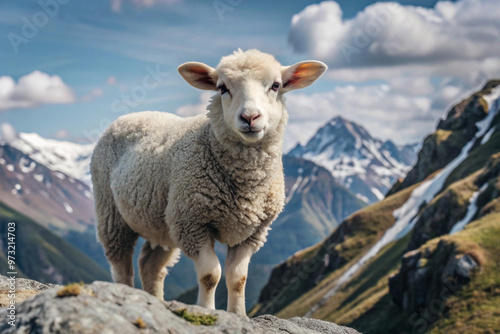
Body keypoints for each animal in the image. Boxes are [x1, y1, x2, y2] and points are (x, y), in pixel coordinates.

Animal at [91, 48, 326, 314]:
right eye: (222, 88)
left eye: (276, 85)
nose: (250, 117)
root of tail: (133, 114)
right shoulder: (193, 223)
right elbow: (210, 275)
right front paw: (206, 310)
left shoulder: (252, 233)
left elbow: (238, 279)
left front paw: (238, 315)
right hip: (112, 213)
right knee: (121, 265)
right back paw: (126, 294)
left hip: (162, 221)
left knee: (150, 266)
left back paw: (156, 302)